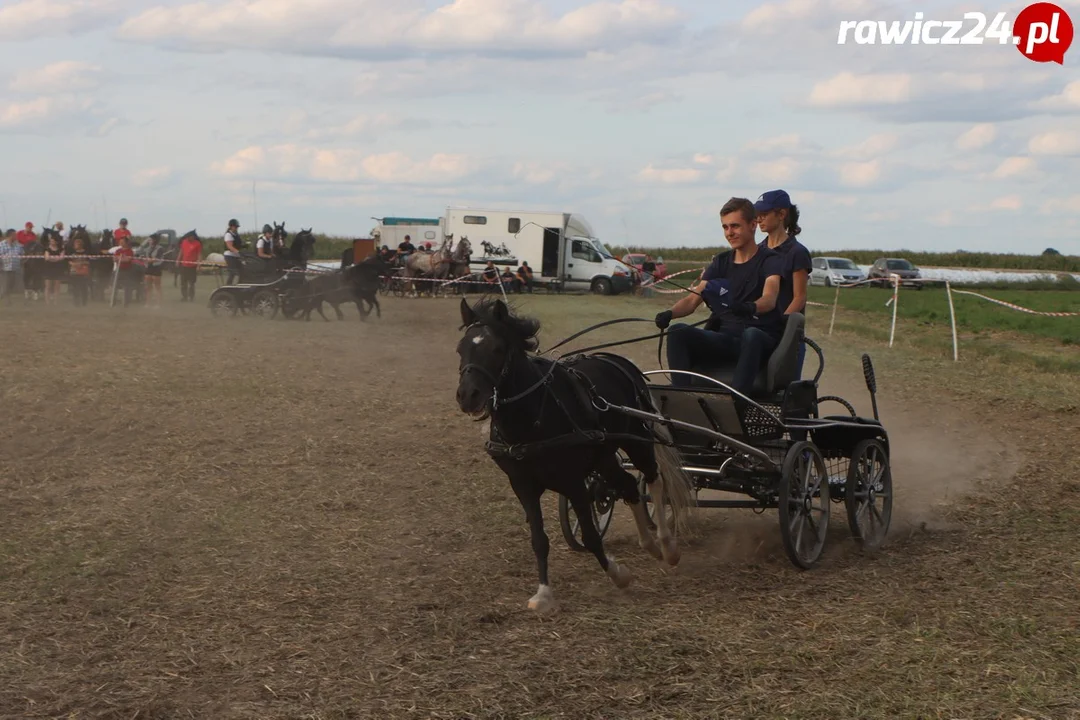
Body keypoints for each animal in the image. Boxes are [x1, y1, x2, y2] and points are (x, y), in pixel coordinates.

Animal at [453, 295, 691, 613]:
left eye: (497, 349)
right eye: (461, 348)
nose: (468, 396)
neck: (533, 415)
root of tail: (617, 361)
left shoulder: (574, 482)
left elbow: (590, 536)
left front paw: (619, 575)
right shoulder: (522, 485)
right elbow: (539, 540)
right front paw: (543, 593)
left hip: (638, 441)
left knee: (653, 480)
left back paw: (666, 545)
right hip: (604, 455)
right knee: (629, 486)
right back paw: (649, 544)